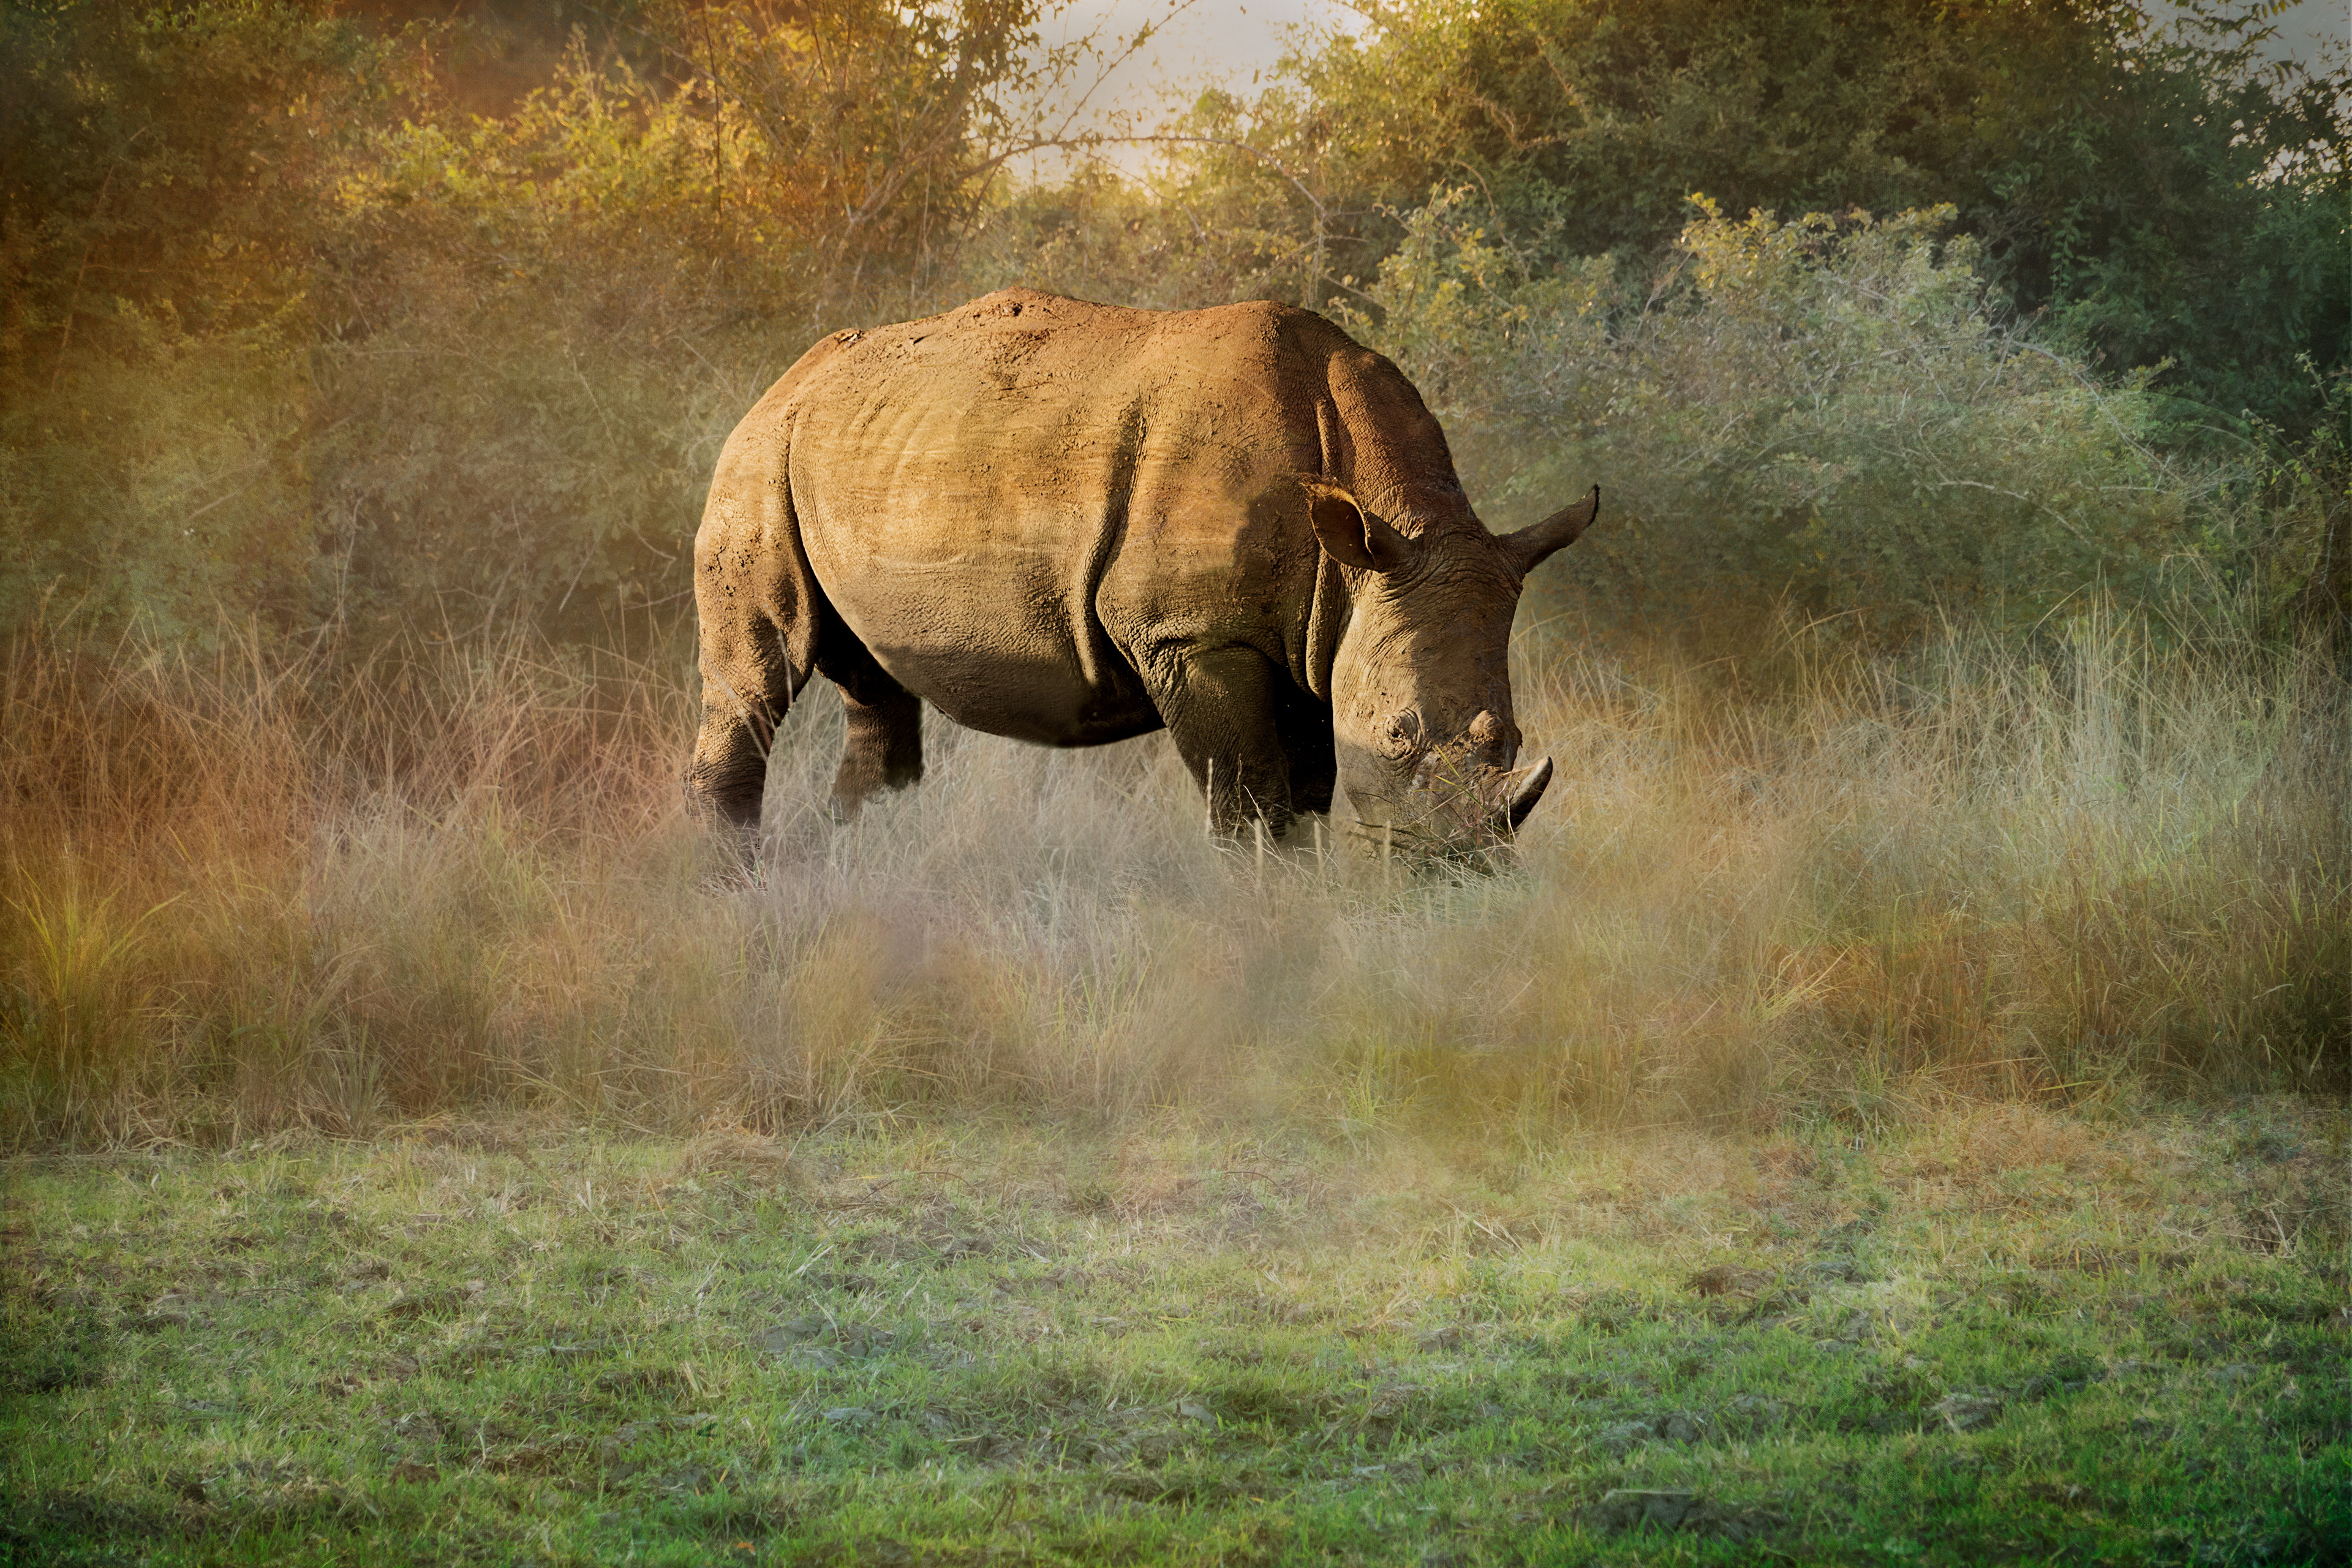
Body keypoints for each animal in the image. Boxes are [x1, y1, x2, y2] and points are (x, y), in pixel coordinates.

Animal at [687, 287, 1597, 855]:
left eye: (1515, 738)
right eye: (1401, 735)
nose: (1459, 871)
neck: (1387, 517)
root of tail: (787, 378)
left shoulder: (1323, 629)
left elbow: (1305, 800)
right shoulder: (1191, 636)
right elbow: (1250, 804)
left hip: (862, 450)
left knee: (874, 691)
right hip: (759, 457)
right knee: (758, 677)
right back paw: (729, 901)